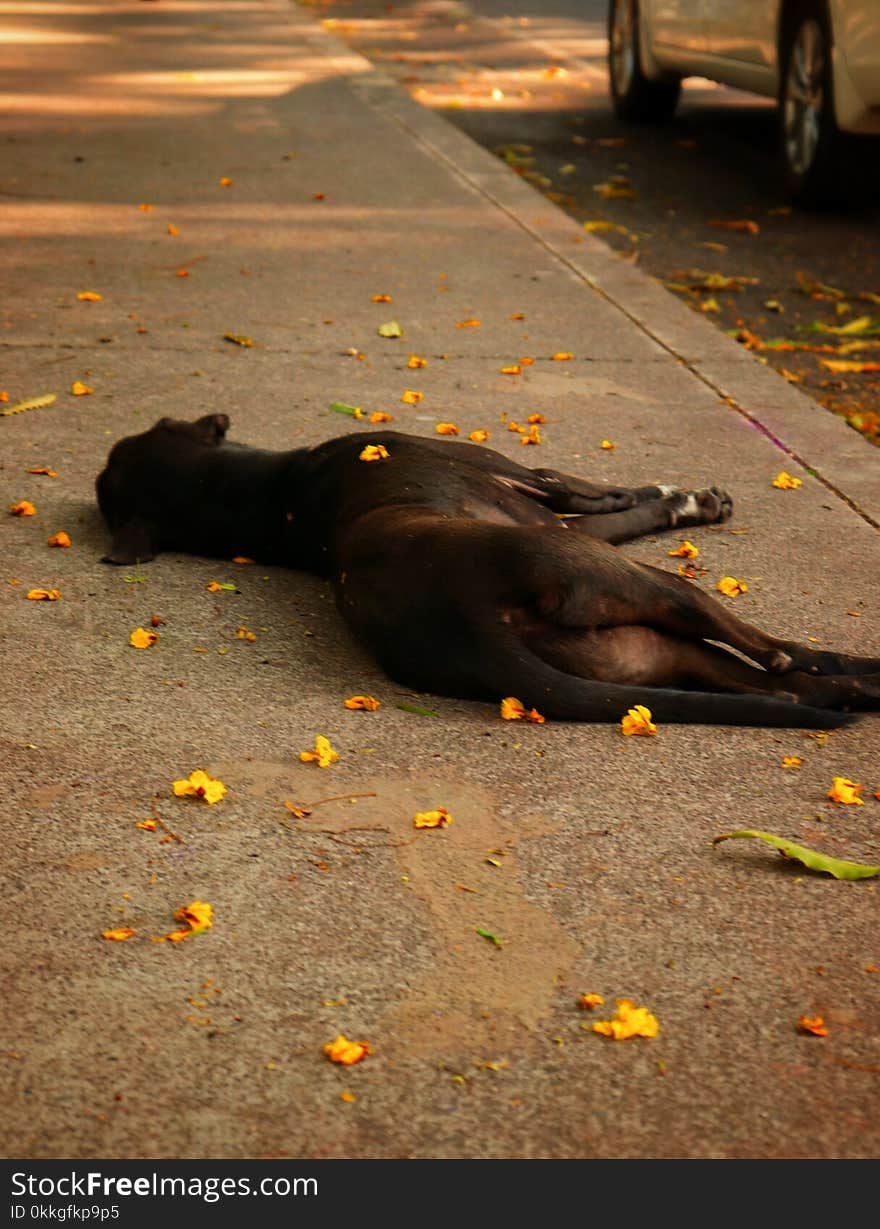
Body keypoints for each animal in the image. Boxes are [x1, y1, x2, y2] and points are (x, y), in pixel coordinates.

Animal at [96, 412, 880, 727]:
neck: (274, 499)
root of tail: (468, 625)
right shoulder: (525, 482)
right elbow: (598, 492)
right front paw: (679, 496)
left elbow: (622, 509)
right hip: (636, 586)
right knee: (781, 653)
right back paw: (848, 670)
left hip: (647, 653)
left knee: (779, 683)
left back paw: (850, 693)